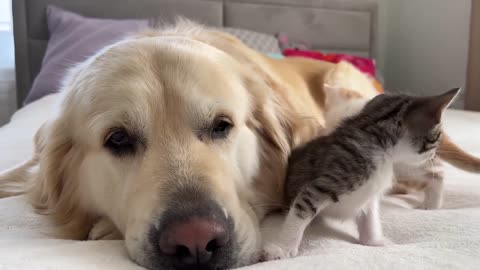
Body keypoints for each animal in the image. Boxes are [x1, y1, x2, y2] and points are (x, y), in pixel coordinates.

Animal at [262, 88, 462, 260]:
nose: (434, 154)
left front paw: (375, 241)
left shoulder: (370, 193)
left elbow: (370, 217)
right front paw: (282, 248)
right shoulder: (326, 182)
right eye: (437, 137)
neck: (381, 151)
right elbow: (300, 211)